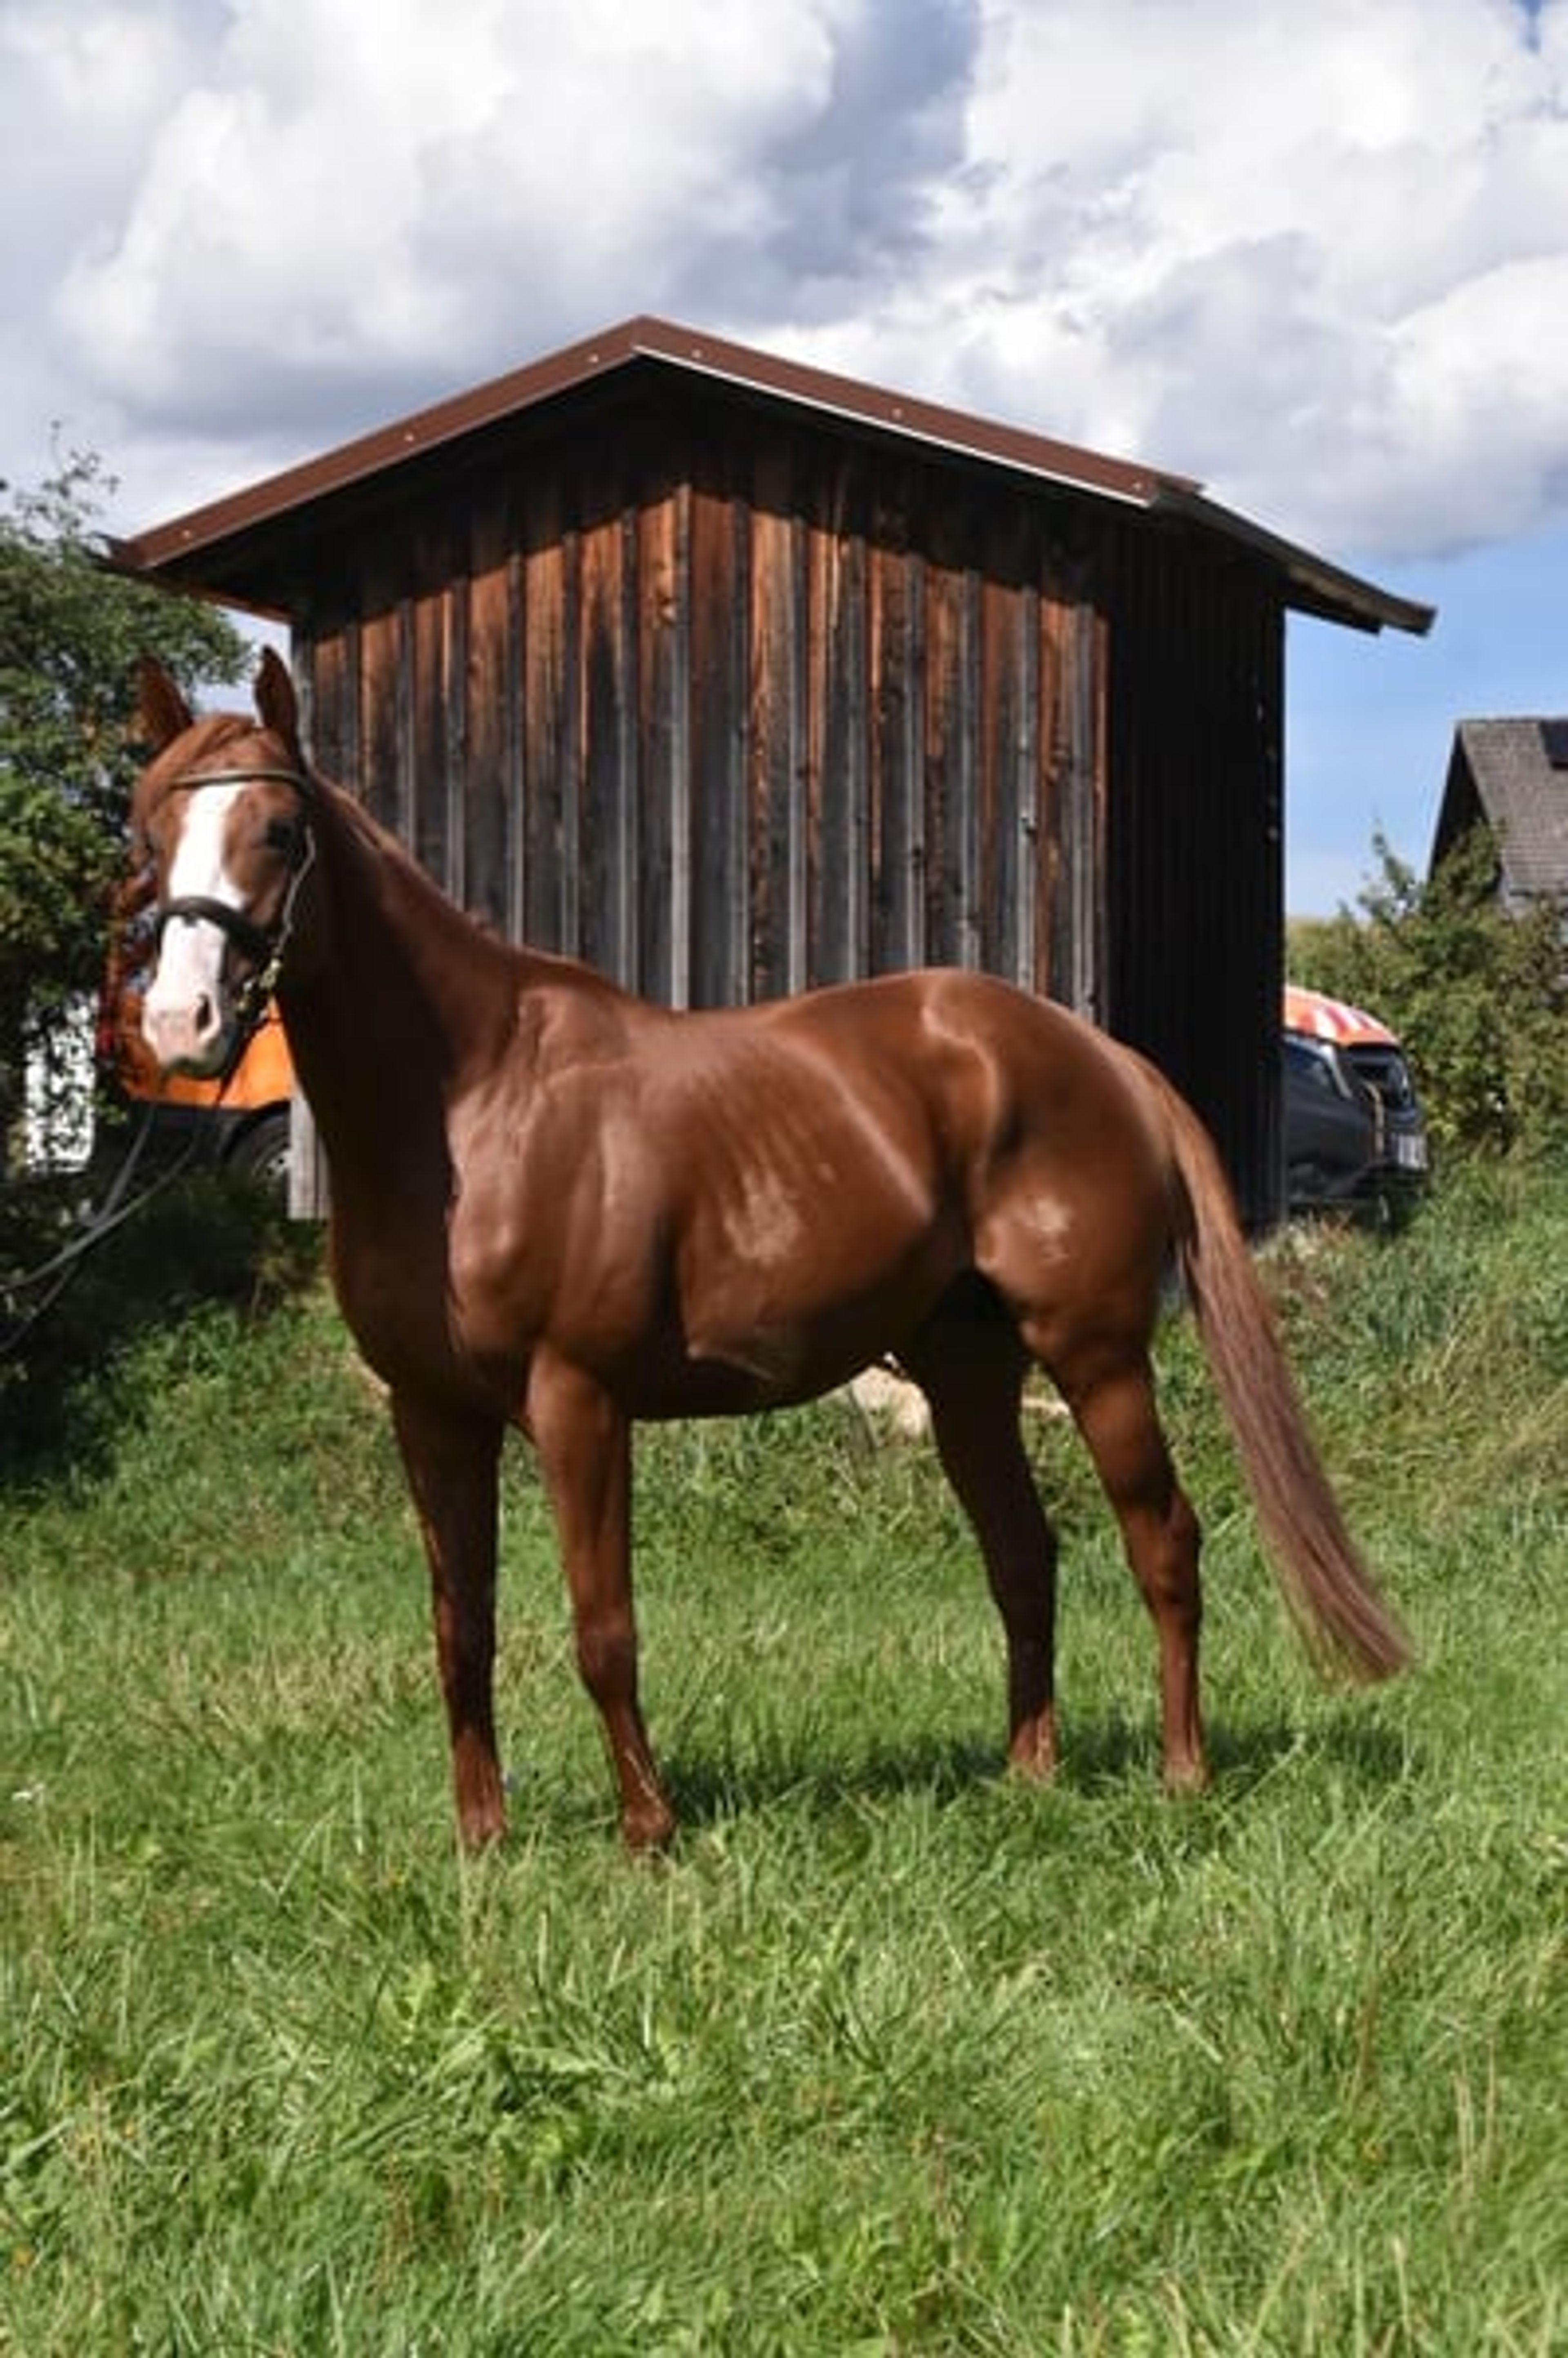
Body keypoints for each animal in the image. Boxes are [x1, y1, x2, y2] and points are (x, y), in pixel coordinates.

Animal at [131, 651, 1409, 1851]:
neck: (471, 1105)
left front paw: (648, 1830)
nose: (181, 1025)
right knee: (1023, 1552)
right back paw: (1027, 1773)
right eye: (150, 830)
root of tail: (1106, 1056)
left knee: (1162, 1539)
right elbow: (463, 1626)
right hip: (967, 1371)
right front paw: (481, 1839)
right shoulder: (430, 1410)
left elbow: (603, 1626)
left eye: (279, 829)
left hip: (1096, 1355)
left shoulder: (577, 1400)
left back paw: (1182, 1771)